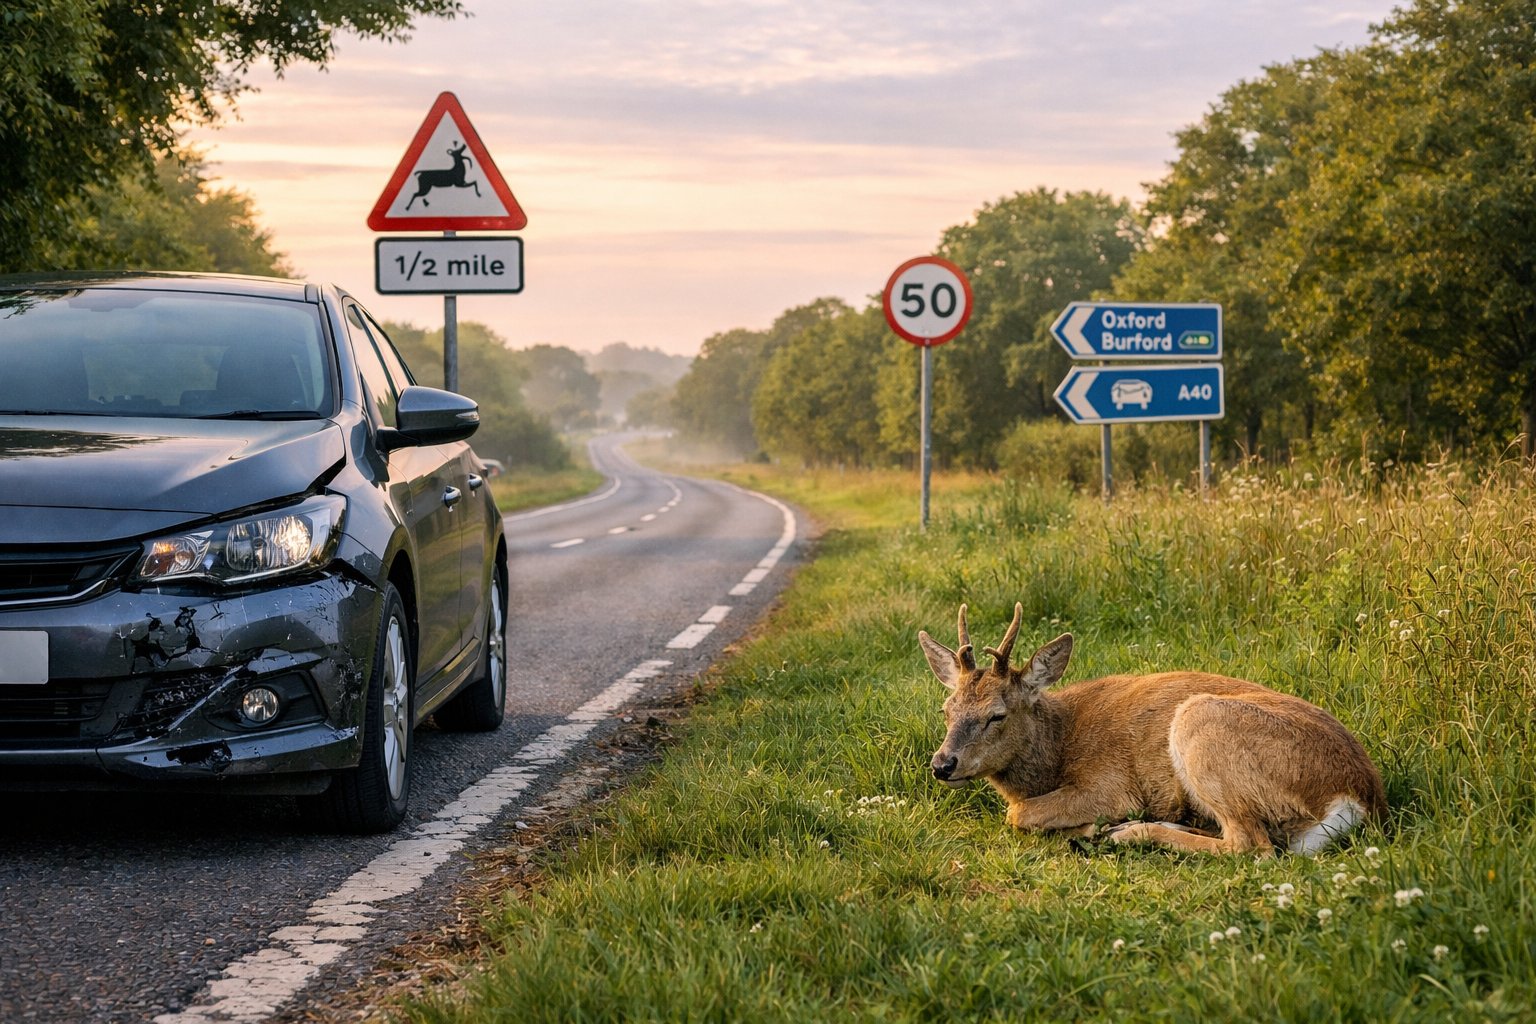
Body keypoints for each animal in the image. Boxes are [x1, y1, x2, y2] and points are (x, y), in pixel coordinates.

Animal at [919, 603, 1386, 856]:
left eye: (997, 715)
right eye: (946, 709)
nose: (943, 764)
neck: (1057, 746)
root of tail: (1358, 796)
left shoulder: (1109, 784)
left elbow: (1017, 814)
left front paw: (1088, 827)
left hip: (1201, 725)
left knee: (1252, 845)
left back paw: (1126, 832)